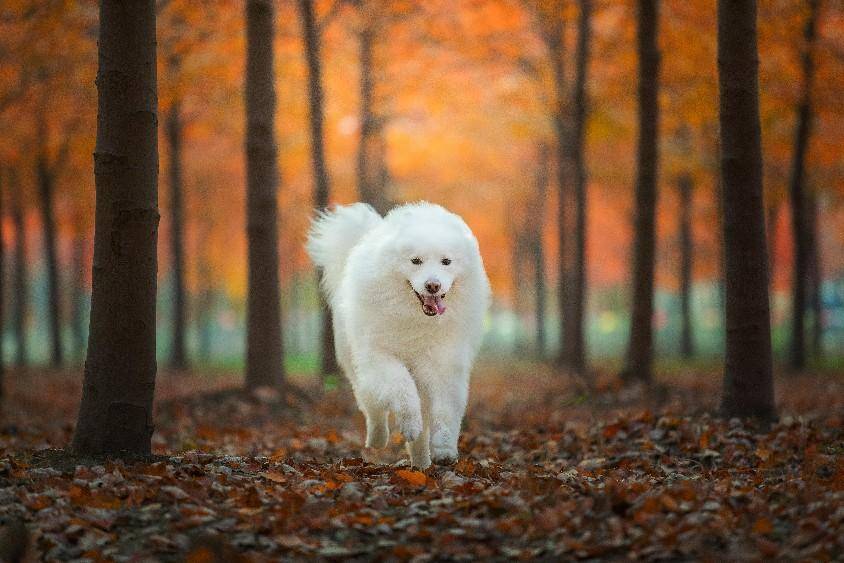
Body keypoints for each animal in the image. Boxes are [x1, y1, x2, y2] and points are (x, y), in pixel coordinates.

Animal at [304, 202, 488, 468]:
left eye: (446, 261)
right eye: (416, 261)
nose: (433, 285)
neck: (416, 319)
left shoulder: (443, 364)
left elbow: (445, 412)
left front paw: (444, 449)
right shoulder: (380, 357)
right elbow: (402, 389)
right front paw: (409, 424)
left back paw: (421, 463)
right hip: (359, 367)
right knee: (372, 408)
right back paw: (378, 438)